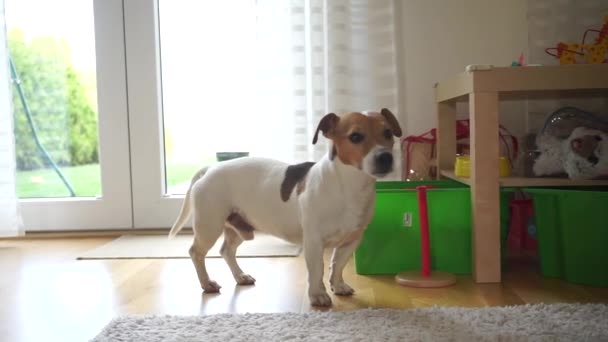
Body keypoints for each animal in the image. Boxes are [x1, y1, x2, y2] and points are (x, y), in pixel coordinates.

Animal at [169, 108, 402, 306]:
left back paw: (240, 276)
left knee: (226, 251)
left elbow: (337, 265)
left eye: (388, 132)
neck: (350, 185)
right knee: (196, 253)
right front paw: (318, 295)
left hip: (237, 228)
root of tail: (210, 168)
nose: (385, 157)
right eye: (355, 137)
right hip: (209, 227)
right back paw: (206, 283)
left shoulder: (351, 241)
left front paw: (338, 286)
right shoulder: (314, 242)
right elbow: (317, 270)